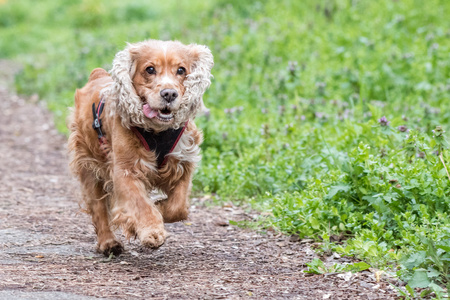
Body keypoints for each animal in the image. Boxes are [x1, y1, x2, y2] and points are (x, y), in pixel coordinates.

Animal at [67, 39, 214, 255]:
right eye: (150, 69)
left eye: (181, 70)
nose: (169, 94)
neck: (157, 130)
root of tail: (97, 75)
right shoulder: (125, 170)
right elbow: (140, 204)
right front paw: (152, 231)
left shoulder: (183, 163)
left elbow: (178, 207)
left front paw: (159, 207)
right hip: (89, 165)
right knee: (98, 208)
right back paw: (109, 243)